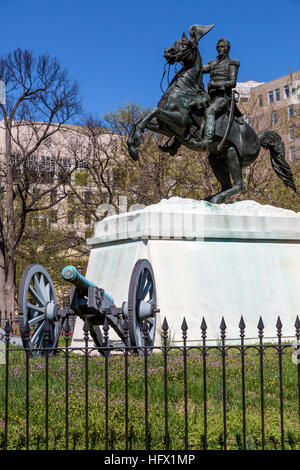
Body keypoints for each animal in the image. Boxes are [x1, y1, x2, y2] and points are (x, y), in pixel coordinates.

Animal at [127, 23, 298, 203]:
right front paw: (133, 148)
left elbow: (154, 111)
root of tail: (258, 138)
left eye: (186, 44)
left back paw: (216, 198)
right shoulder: (165, 127)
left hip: (232, 154)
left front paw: (137, 142)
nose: (168, 51)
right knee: (227, 185)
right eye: (176, 42)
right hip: (215, 158)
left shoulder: (180, 123)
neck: (184, 90)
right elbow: (140, 120)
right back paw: (210, 198)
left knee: (240, 185)